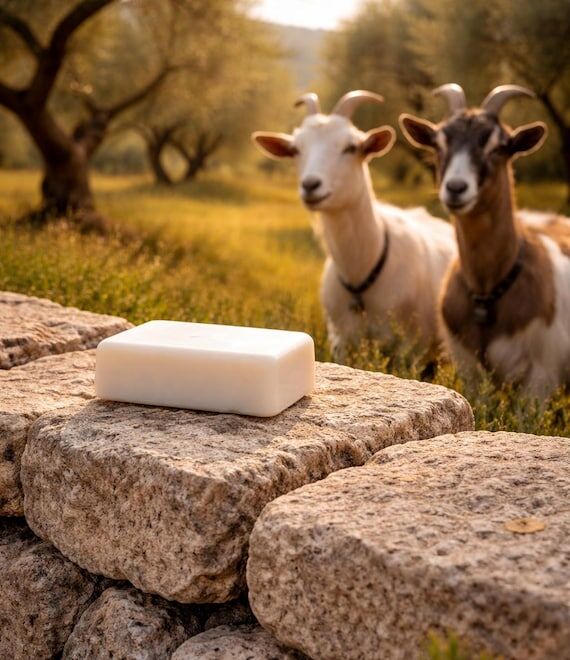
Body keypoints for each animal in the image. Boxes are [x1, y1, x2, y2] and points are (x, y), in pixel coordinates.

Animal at [252, 91, 456, 360]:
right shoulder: (341, 340)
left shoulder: (411, 347)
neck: (361, 273)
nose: (310, 185)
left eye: (351, 147)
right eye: (295, 149)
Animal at [400, 84, 570, 396]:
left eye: (500, 146)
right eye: (439, 143)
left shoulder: (541, 376)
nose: (456, 188)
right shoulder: (468, 367)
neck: (488, 291)